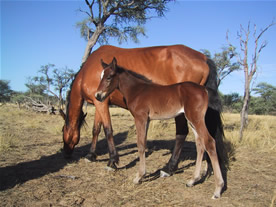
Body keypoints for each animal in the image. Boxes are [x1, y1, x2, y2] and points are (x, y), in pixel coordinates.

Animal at [95, 57, 224, 199]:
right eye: (101, 76)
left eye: (109, 77)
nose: (98, 96)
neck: (137, 90)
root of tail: (204, 89)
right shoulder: (146, 120)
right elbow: (143, 143)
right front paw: (141, 175)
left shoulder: (140, 118)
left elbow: (140, 144)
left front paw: (139, 177)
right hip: (192, 120)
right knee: (200, 144)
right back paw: (192, 180)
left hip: (196, 119)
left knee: (209, 142)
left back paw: (218, 189)